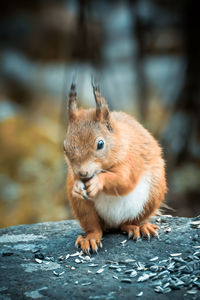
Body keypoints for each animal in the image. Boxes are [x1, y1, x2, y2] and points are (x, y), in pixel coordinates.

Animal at [63, 81, 166, 253]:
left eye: (100, 144)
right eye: (64, 147)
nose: (83, 173)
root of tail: (113, 224)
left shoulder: (132, 160)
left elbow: (124, 180)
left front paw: (97, 182)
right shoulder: (72, 172)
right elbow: (74, 179)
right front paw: (77, 186)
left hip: (151, 198)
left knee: (129, 222)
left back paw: (139, 228)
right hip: (83, 209)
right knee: (94, 228)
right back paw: (89, 239)